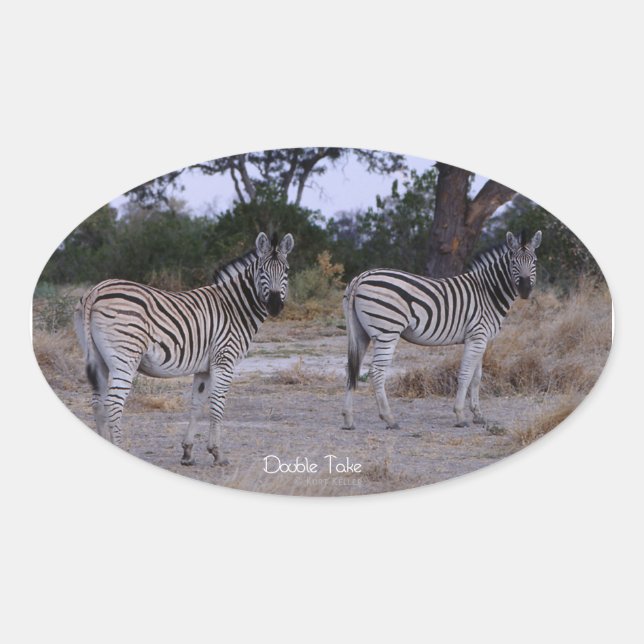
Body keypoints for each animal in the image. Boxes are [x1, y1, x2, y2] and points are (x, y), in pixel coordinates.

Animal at [74, 232, 294, 466]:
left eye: (287, 270)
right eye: (261, 270)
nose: (274, 306)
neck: (235, 308)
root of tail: (96, 290)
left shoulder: (204, 367)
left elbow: (196, 405)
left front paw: (188, 453)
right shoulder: (224, 359)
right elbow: (217, 405)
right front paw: (218, 454)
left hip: (98, 359)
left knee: (97, 402)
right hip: (125, 357)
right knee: (113, 403)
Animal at [341, 230, 542, 430]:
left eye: (534, 261)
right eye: (513, 262)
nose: (525, 290)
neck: (488, 292)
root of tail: (361, 277)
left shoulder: (481, 339)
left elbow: (476, 377)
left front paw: (478, 415)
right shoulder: (477, 337)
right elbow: (465, 375)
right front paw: (460, 415)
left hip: (360, 333)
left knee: (352, 369)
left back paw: (348, 419)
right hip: (387, 332)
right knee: (376, 372)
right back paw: (389, 418)